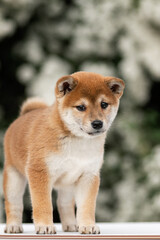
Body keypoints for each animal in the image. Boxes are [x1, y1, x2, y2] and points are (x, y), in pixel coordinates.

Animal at [2, 71, 125, 234]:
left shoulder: (89, 175)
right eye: (81, 107)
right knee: (13, 203)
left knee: (63, 203)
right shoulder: (39, 171)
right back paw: (13, 226)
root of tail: (23, 116)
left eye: (104, 104)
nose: (97, 123)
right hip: (13, 177)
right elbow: (43, 204)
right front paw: (45, 226)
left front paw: (88, 225)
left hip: (67, 184)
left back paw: (71, 225)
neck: (77, 142)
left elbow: (87, 206)